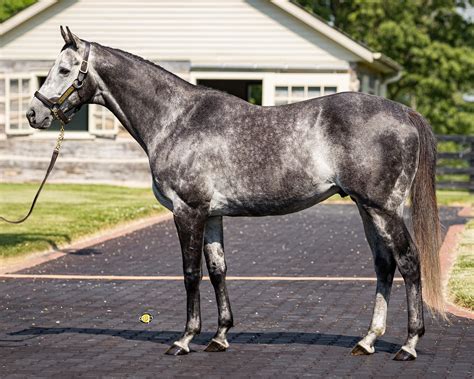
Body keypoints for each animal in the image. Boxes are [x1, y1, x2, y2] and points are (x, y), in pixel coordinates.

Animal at [27, 29, 446, 362]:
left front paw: (184, 339)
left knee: (408, 262)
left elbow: (190, 273)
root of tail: (404, 112)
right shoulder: (212, 214)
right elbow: (217, 270)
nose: (34, 114)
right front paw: (220, 336)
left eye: (64, 70)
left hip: (383, 209)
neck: (176, 119)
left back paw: (408, 345)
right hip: (366, 208)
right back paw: (367, 340)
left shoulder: (188, 211)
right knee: (384, 266)